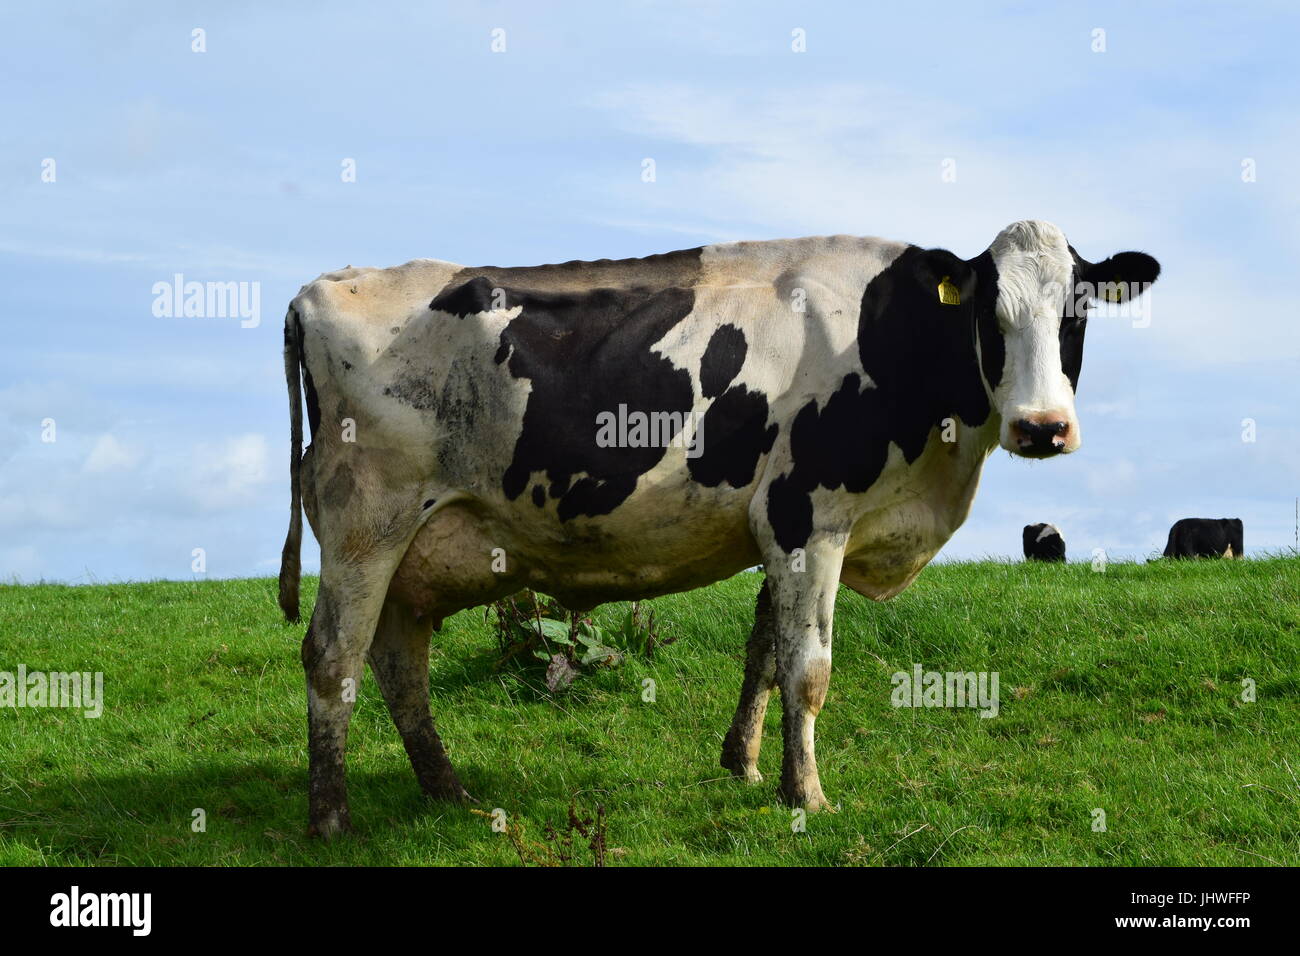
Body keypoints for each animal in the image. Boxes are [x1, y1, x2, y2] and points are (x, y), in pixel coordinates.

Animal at [277, 220, 1160, 837]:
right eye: (990, 314)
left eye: (1076, 316)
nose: (1043, 427)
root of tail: (322, 287)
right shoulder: (809, 517)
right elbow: (808, 669)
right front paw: (809, 796)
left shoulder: (777, 525)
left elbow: (763, 656)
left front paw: (746, 767)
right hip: (365, 526)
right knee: (332, 659)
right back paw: (330, 817)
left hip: (411, 552)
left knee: (398, 665)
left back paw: (447, 791)